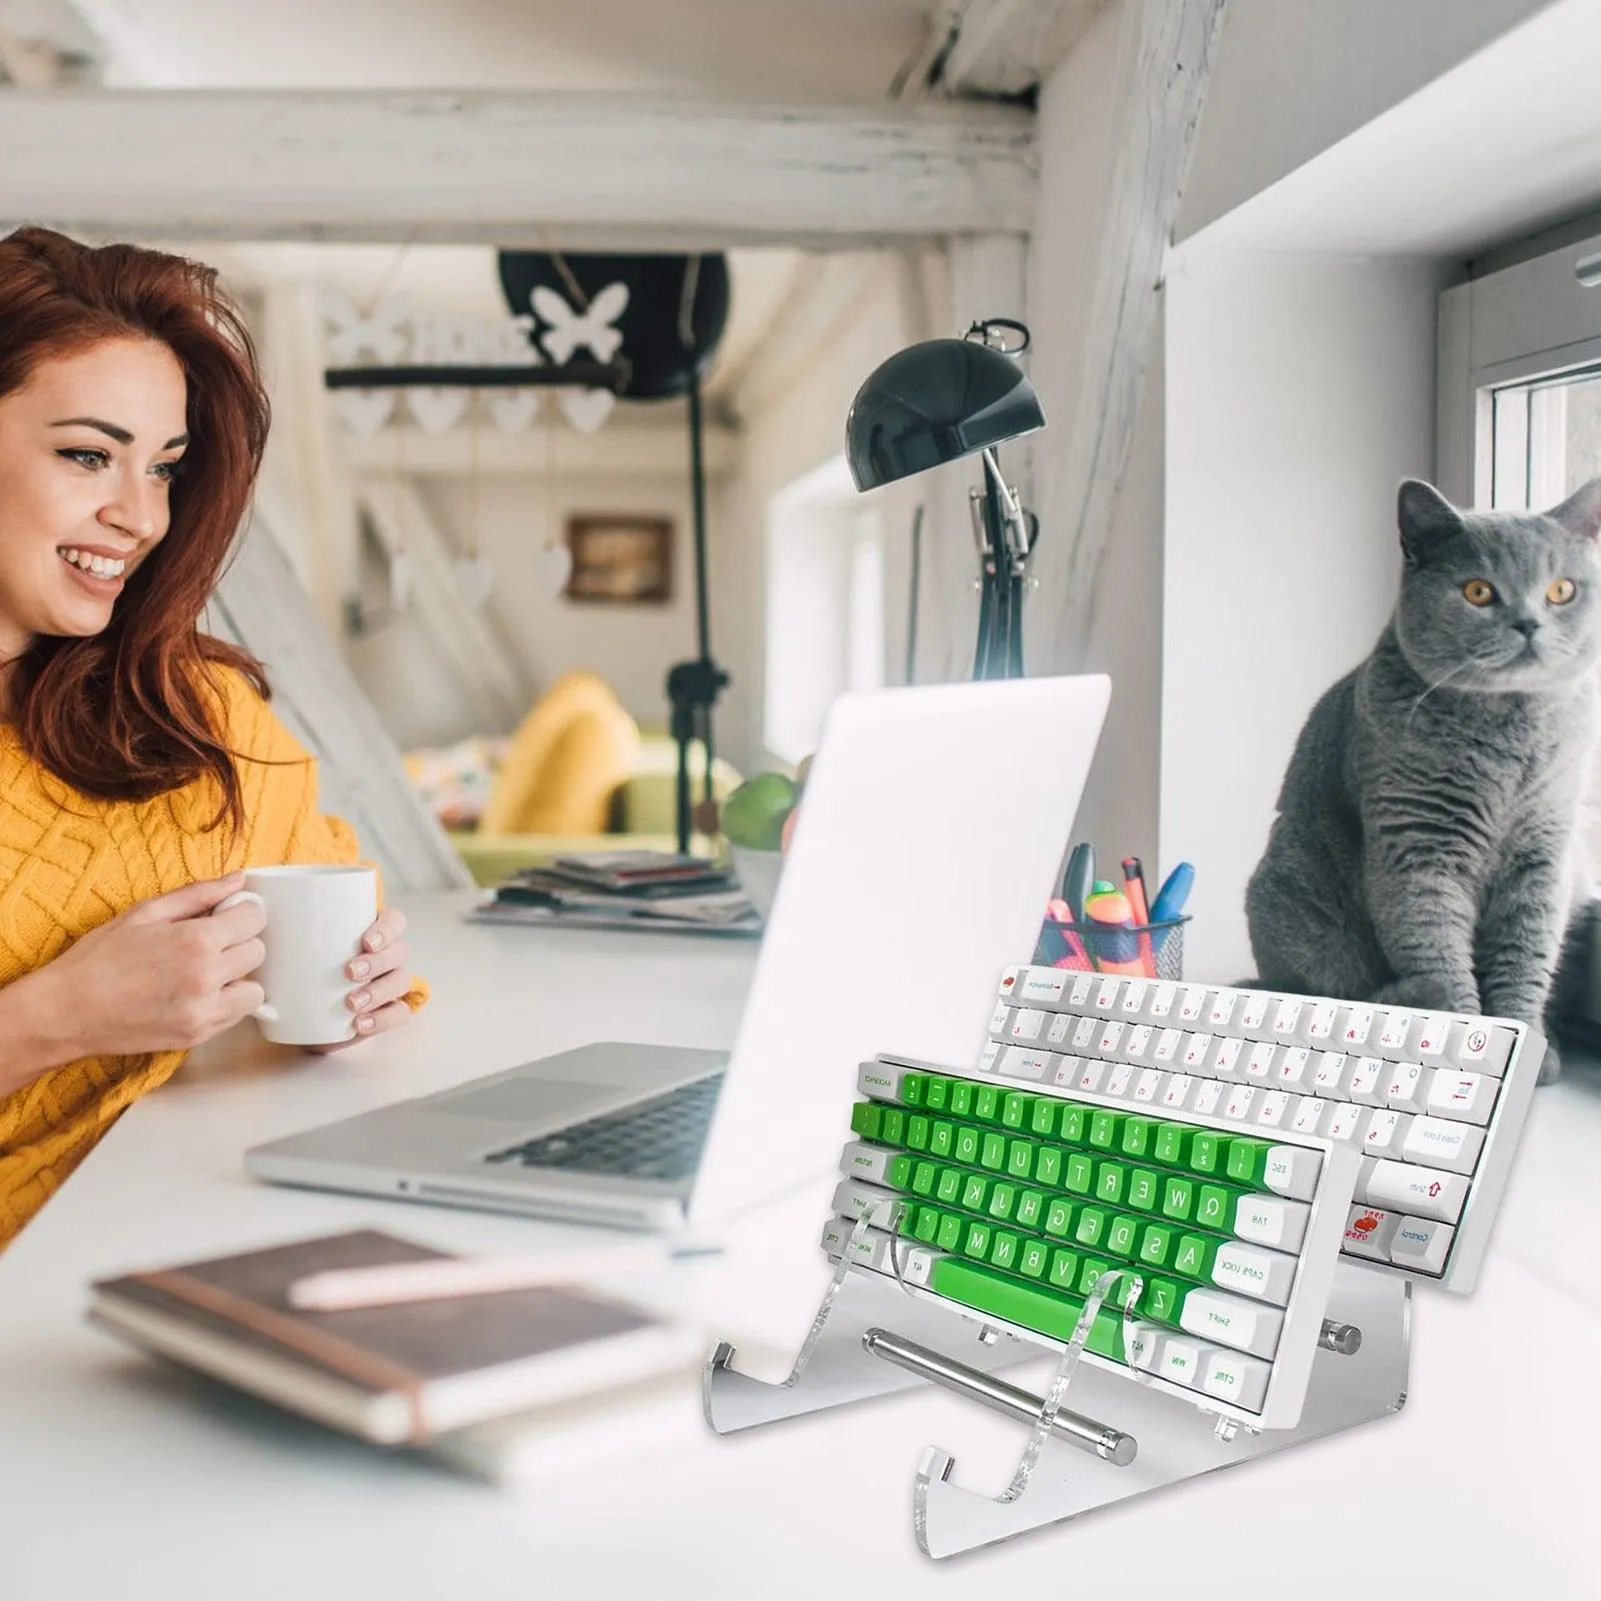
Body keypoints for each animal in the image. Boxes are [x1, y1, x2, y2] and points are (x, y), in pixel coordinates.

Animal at [1248, 470, 1601, 1075]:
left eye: (1561, 591)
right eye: (1478, 591)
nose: (1529, 622)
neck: (1509, 737)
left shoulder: (1544, 854)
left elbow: (1525, 955)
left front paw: (1527, 1040)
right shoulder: (1418, 845)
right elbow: (1437, 951)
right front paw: (1463, 1041)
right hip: (1289, 892)